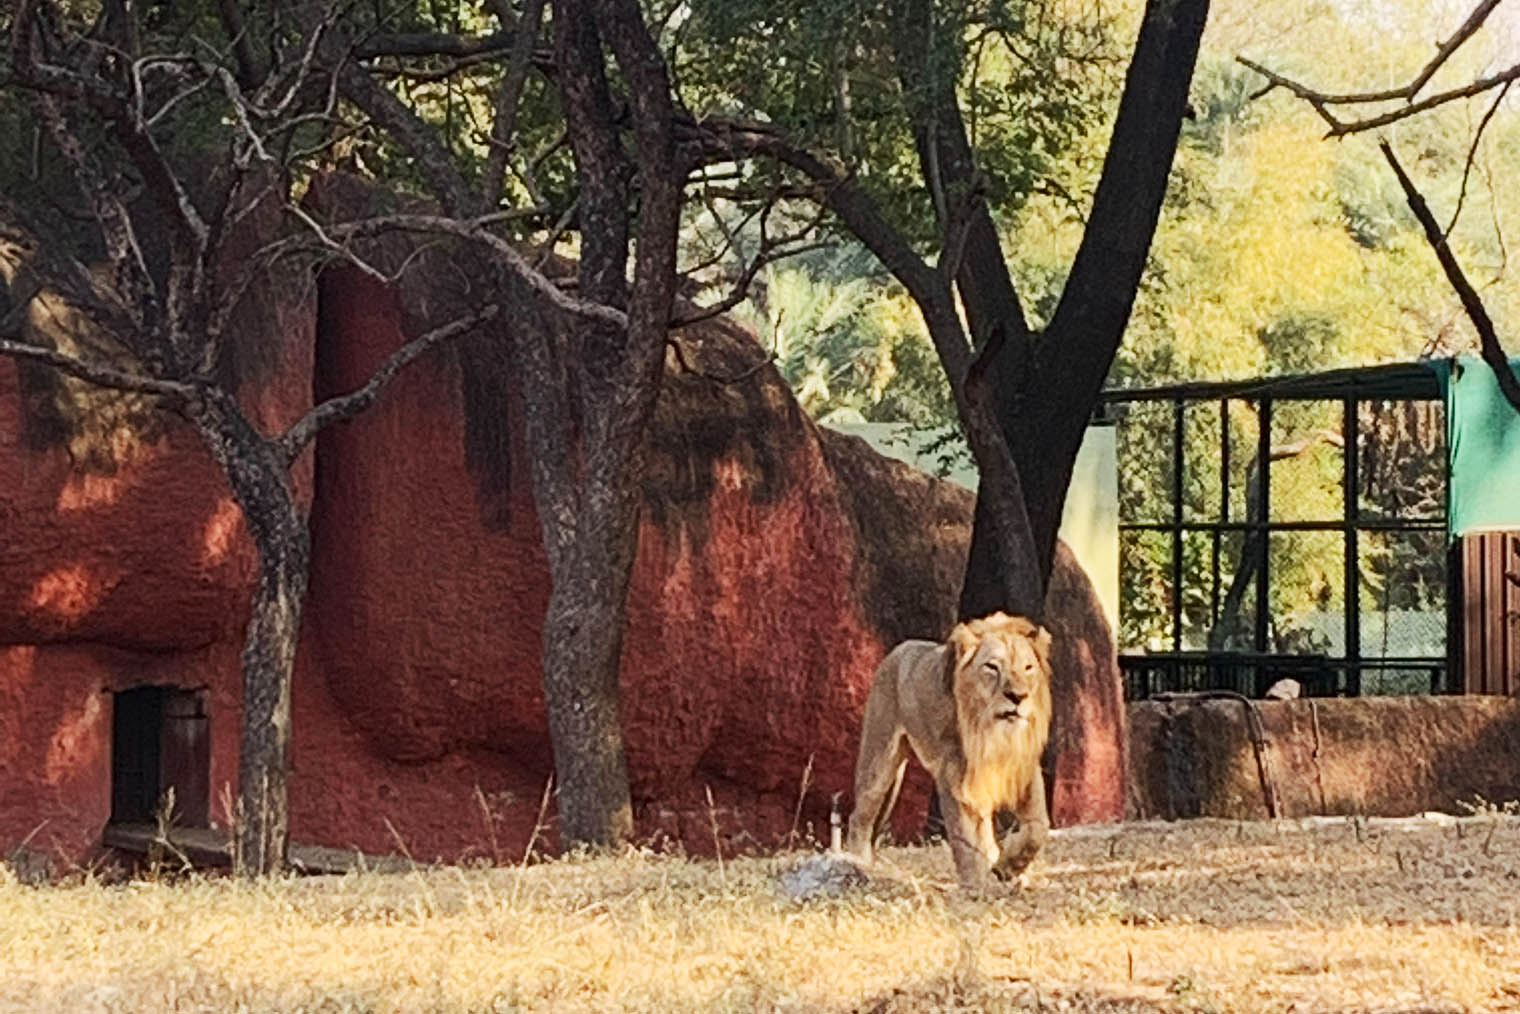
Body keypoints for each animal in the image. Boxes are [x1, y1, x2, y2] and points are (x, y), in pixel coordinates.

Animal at [851, 611, 1051, 887]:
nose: (1017, 696)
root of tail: (900, 648)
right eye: (992, 667)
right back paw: (857, 863)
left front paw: (1007, 868)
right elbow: (964, 836)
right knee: (861, 814)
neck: (993, 732)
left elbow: (1038, 826)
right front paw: (975, 883)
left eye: (1028, 668)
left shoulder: (1024, 764)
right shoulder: (954, 772)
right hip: (878, 758)